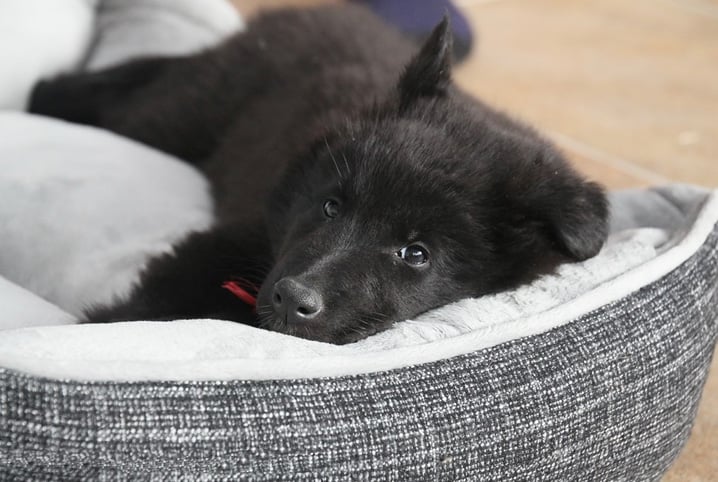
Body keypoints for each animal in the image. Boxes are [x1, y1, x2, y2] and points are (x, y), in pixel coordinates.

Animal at [31, 3, 612, 342]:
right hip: (179, 115)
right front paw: (95, 328)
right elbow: (162, 296)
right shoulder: (238, 237)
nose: (294, 299)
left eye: (416, 254)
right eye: (331, 206)